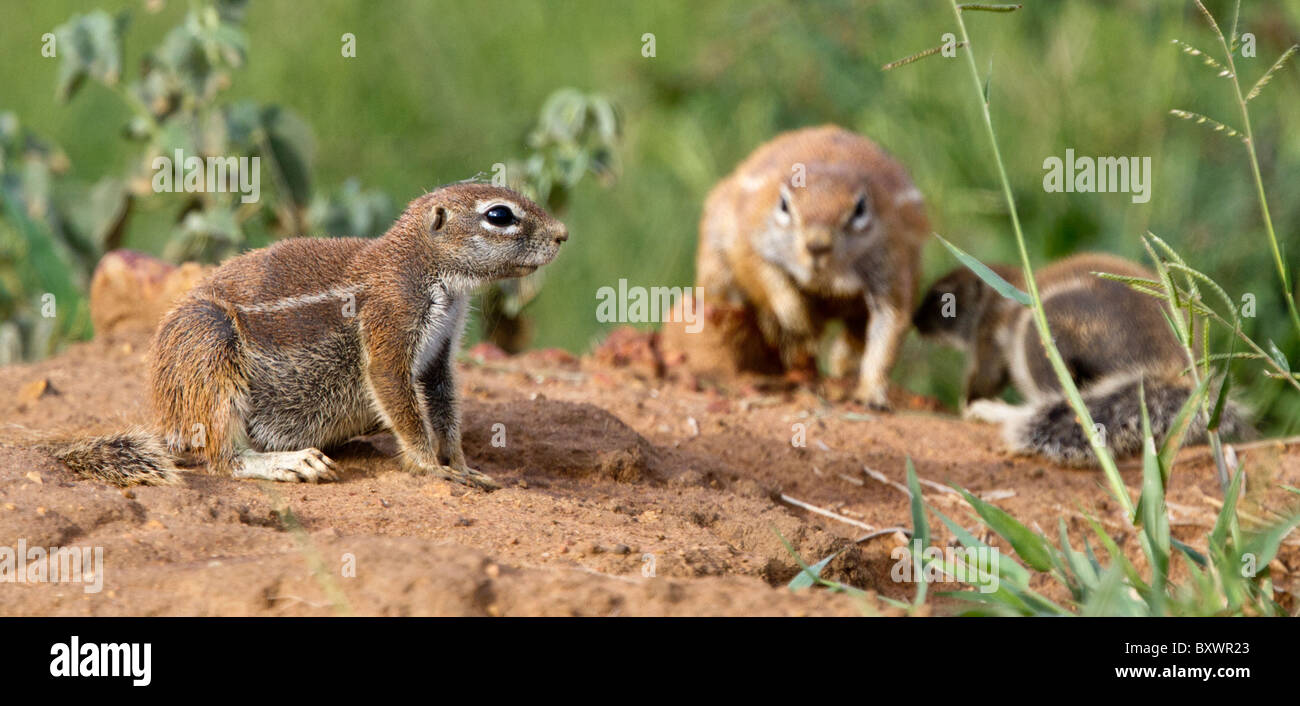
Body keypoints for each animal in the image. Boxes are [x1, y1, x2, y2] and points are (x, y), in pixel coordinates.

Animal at [48, 184, 566, 488]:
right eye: (499, 215)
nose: (563, 234)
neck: (424, 265)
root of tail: (168, 419)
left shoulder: (440, 353)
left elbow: (444, 407)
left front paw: (461, 464)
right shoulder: (391, 320)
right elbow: (399, 397)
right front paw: (430, 467)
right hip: (209, 348)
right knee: (222, 459)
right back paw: (290, 462)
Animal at [696, 125, 930, 408]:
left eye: (860, 209)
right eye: (784, 204)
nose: (817, 246)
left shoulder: (892, 262)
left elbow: (891, 324)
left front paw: (871, 393)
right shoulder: (749, 236)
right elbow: (766, 277)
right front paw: (797, 318)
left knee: (855, 336)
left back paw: (842, 366)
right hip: (715, 265)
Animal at [909, 250, 1253, 468]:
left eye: (941, 296)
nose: (914, 321)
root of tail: (1170, 368)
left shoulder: (988, 335)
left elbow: (984, 377)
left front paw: (969, 405)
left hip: (1041, 334)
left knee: (1060, 398)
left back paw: (994, 412)